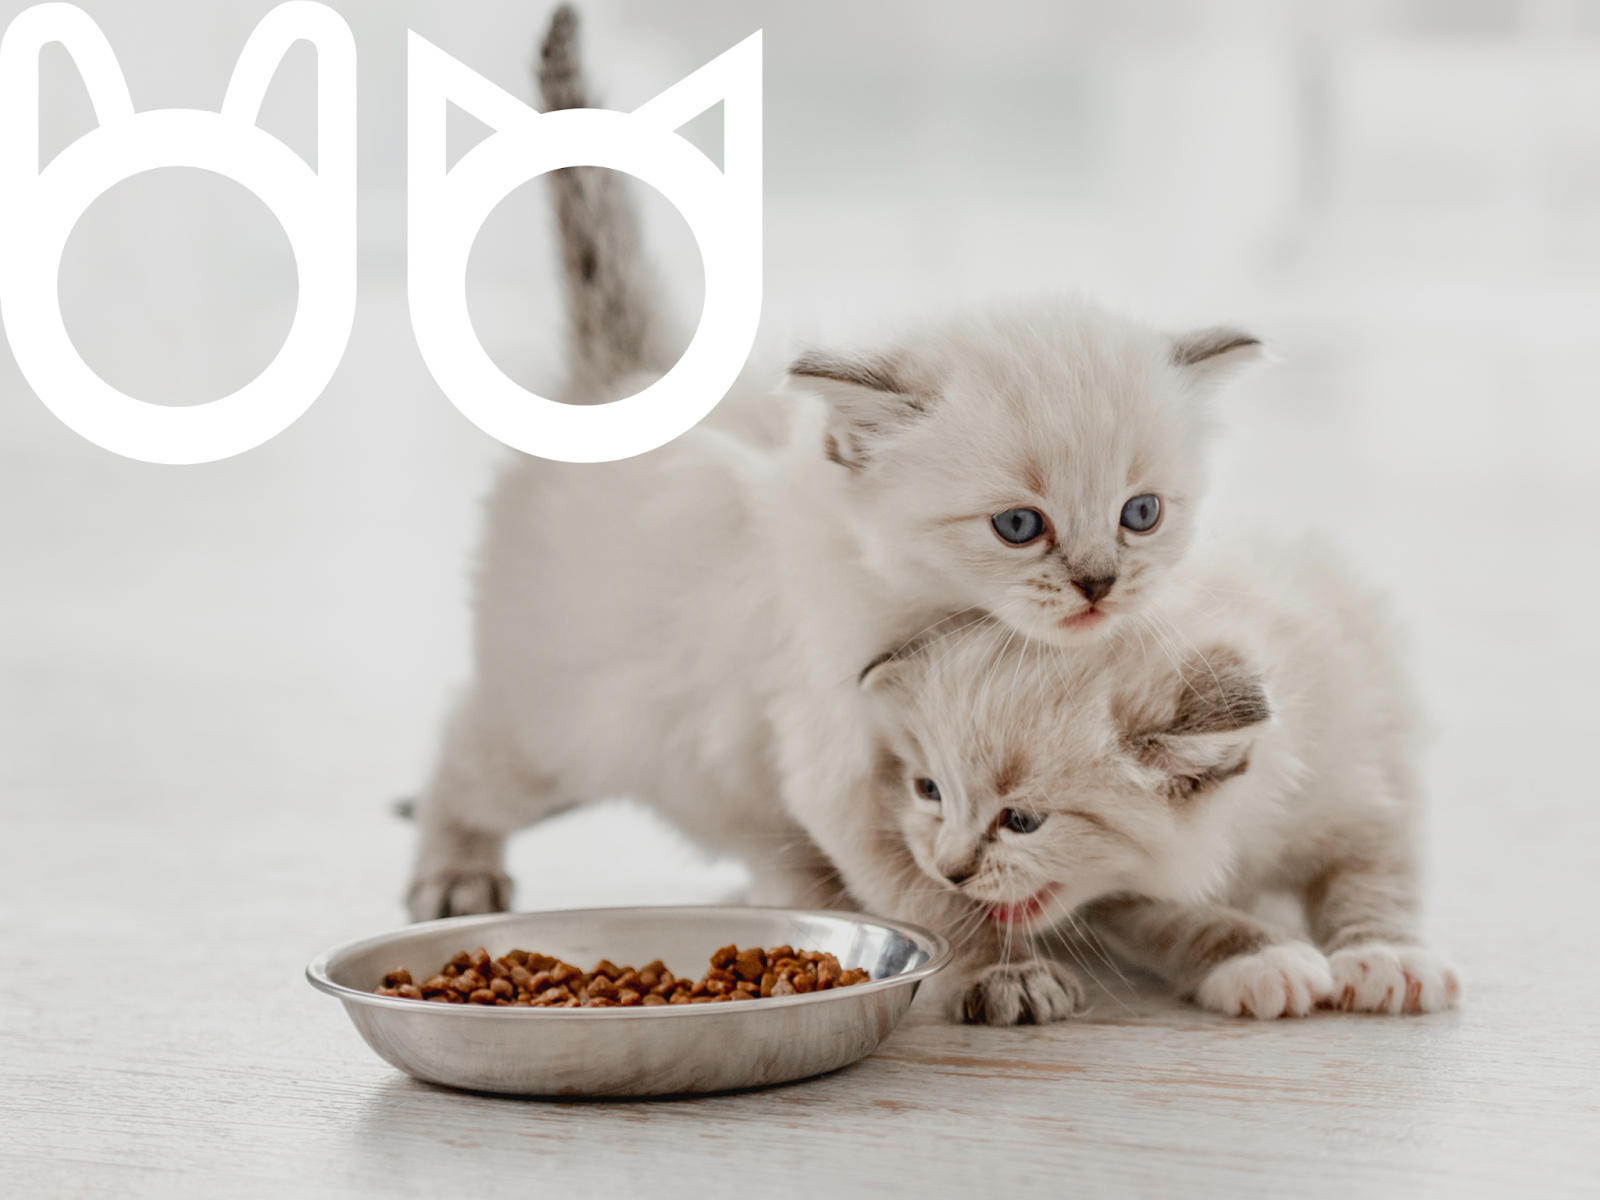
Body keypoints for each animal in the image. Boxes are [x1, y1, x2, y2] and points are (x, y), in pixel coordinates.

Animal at [406, 7, 1264, 927]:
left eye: (1142, 514)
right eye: (1018, 526)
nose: (1100, 586)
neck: (953, 623)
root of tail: (627, 377)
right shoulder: (839, 758)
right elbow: (919, 891)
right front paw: (982, 957)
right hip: (558, 721)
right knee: (465, 751)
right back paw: (453, 872)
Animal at [857, 531, 1460, 1023]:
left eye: (1023, 821)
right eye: (929, 791)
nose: (948, 872)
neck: (1247, 830)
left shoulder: (1368, 788)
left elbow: (1375, 882)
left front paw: (1386, 956)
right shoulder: (1122, 896)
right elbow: (1178, 918)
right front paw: (1258, 956)